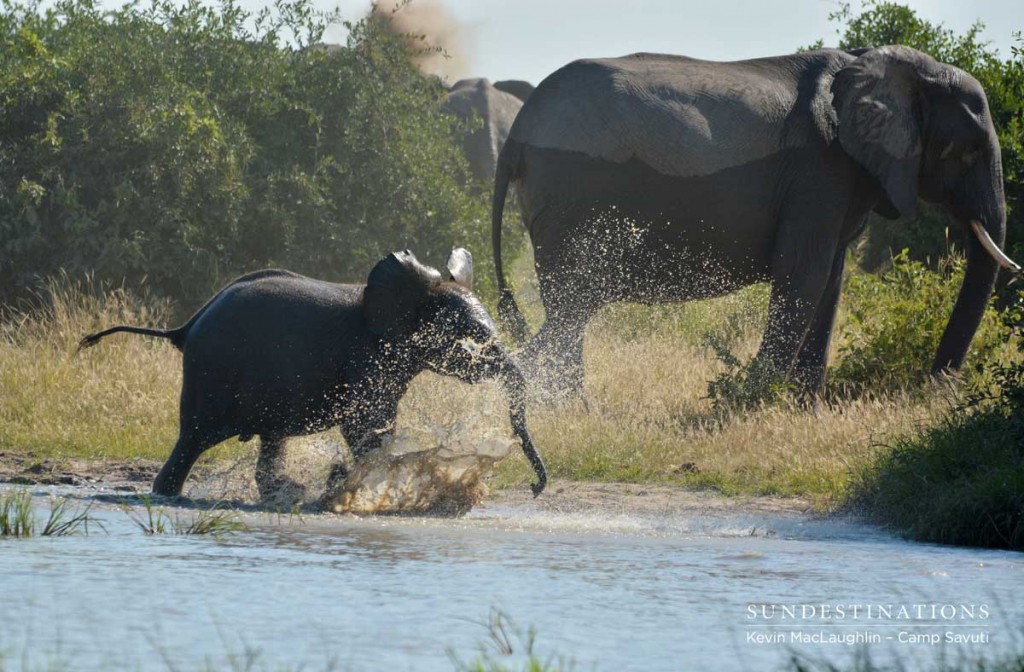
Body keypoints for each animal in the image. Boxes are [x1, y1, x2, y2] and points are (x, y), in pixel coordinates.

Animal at [78, 248, 548, 501]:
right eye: (470, 341)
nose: (534, 487)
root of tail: (186, 326)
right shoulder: (365, 357)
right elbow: (366, 425)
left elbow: (379, 424)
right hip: (211, 372)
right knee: (193, 438)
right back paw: (168, 495)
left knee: (269, 441)